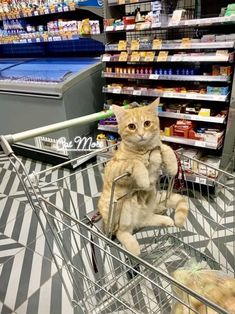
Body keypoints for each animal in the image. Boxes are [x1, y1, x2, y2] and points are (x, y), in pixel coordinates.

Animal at [98, 99, 189, 256]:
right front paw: (144, 177)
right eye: (131, 126)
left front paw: (172, 165)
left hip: (152, 197)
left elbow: (165, 147)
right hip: (123, 207)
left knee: (147, 219)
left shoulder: (157, 148)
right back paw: (134, 247)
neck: (144, 150)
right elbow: (135, 162)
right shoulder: (113, 167)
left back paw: (164, 217)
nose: (141, 134)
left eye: (147, 123)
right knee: (122, 232)